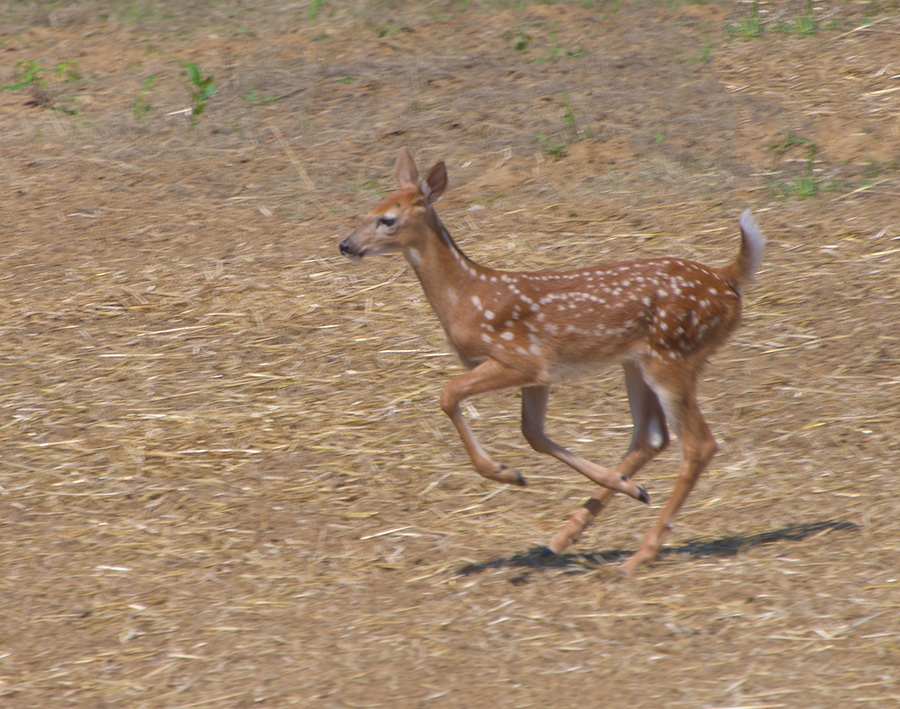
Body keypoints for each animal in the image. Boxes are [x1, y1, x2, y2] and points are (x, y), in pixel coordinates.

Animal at [339, 148, 765, 575]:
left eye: (387, 219)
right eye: (367, 210)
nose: (346, 245)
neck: (467, 297)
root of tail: (727, 278)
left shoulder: (522, 359)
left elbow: (449, 395)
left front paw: (505, 473)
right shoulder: (539, 374)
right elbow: (533, 433)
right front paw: (622, 488)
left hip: (674, 354)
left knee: (698, 444)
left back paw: (639, 555)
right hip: (637, 361)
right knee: (652, 435)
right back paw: (574, 531)